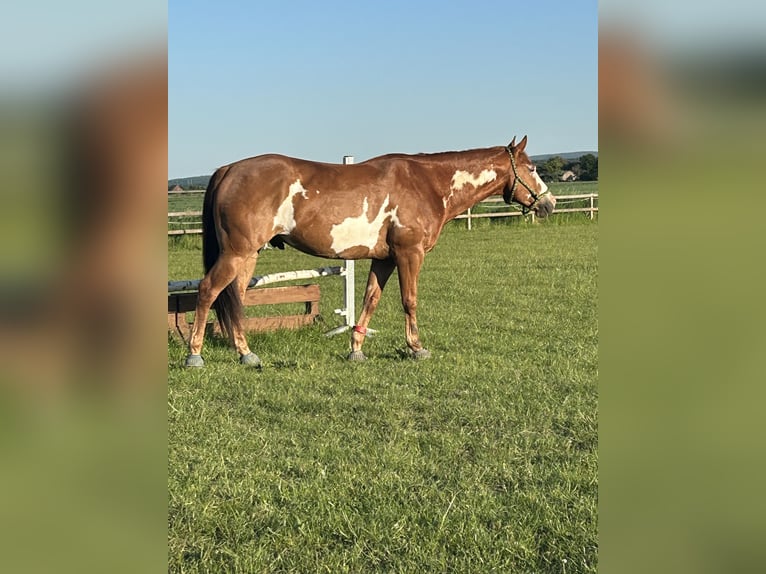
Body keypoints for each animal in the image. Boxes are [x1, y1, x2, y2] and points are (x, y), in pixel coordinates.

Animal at [184, 136, 555, 367]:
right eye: (532, 168)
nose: (548, 203)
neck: (428, 183)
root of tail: (229, 170)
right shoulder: (409, 254)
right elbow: (409, 300)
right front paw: (416, 348)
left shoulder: (384, 258)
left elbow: (370, 301)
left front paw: (356, 350)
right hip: (236, 253)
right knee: (208, 291)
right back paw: (194, 355)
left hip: (248, 256)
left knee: (235, 299)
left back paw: (246, 354)